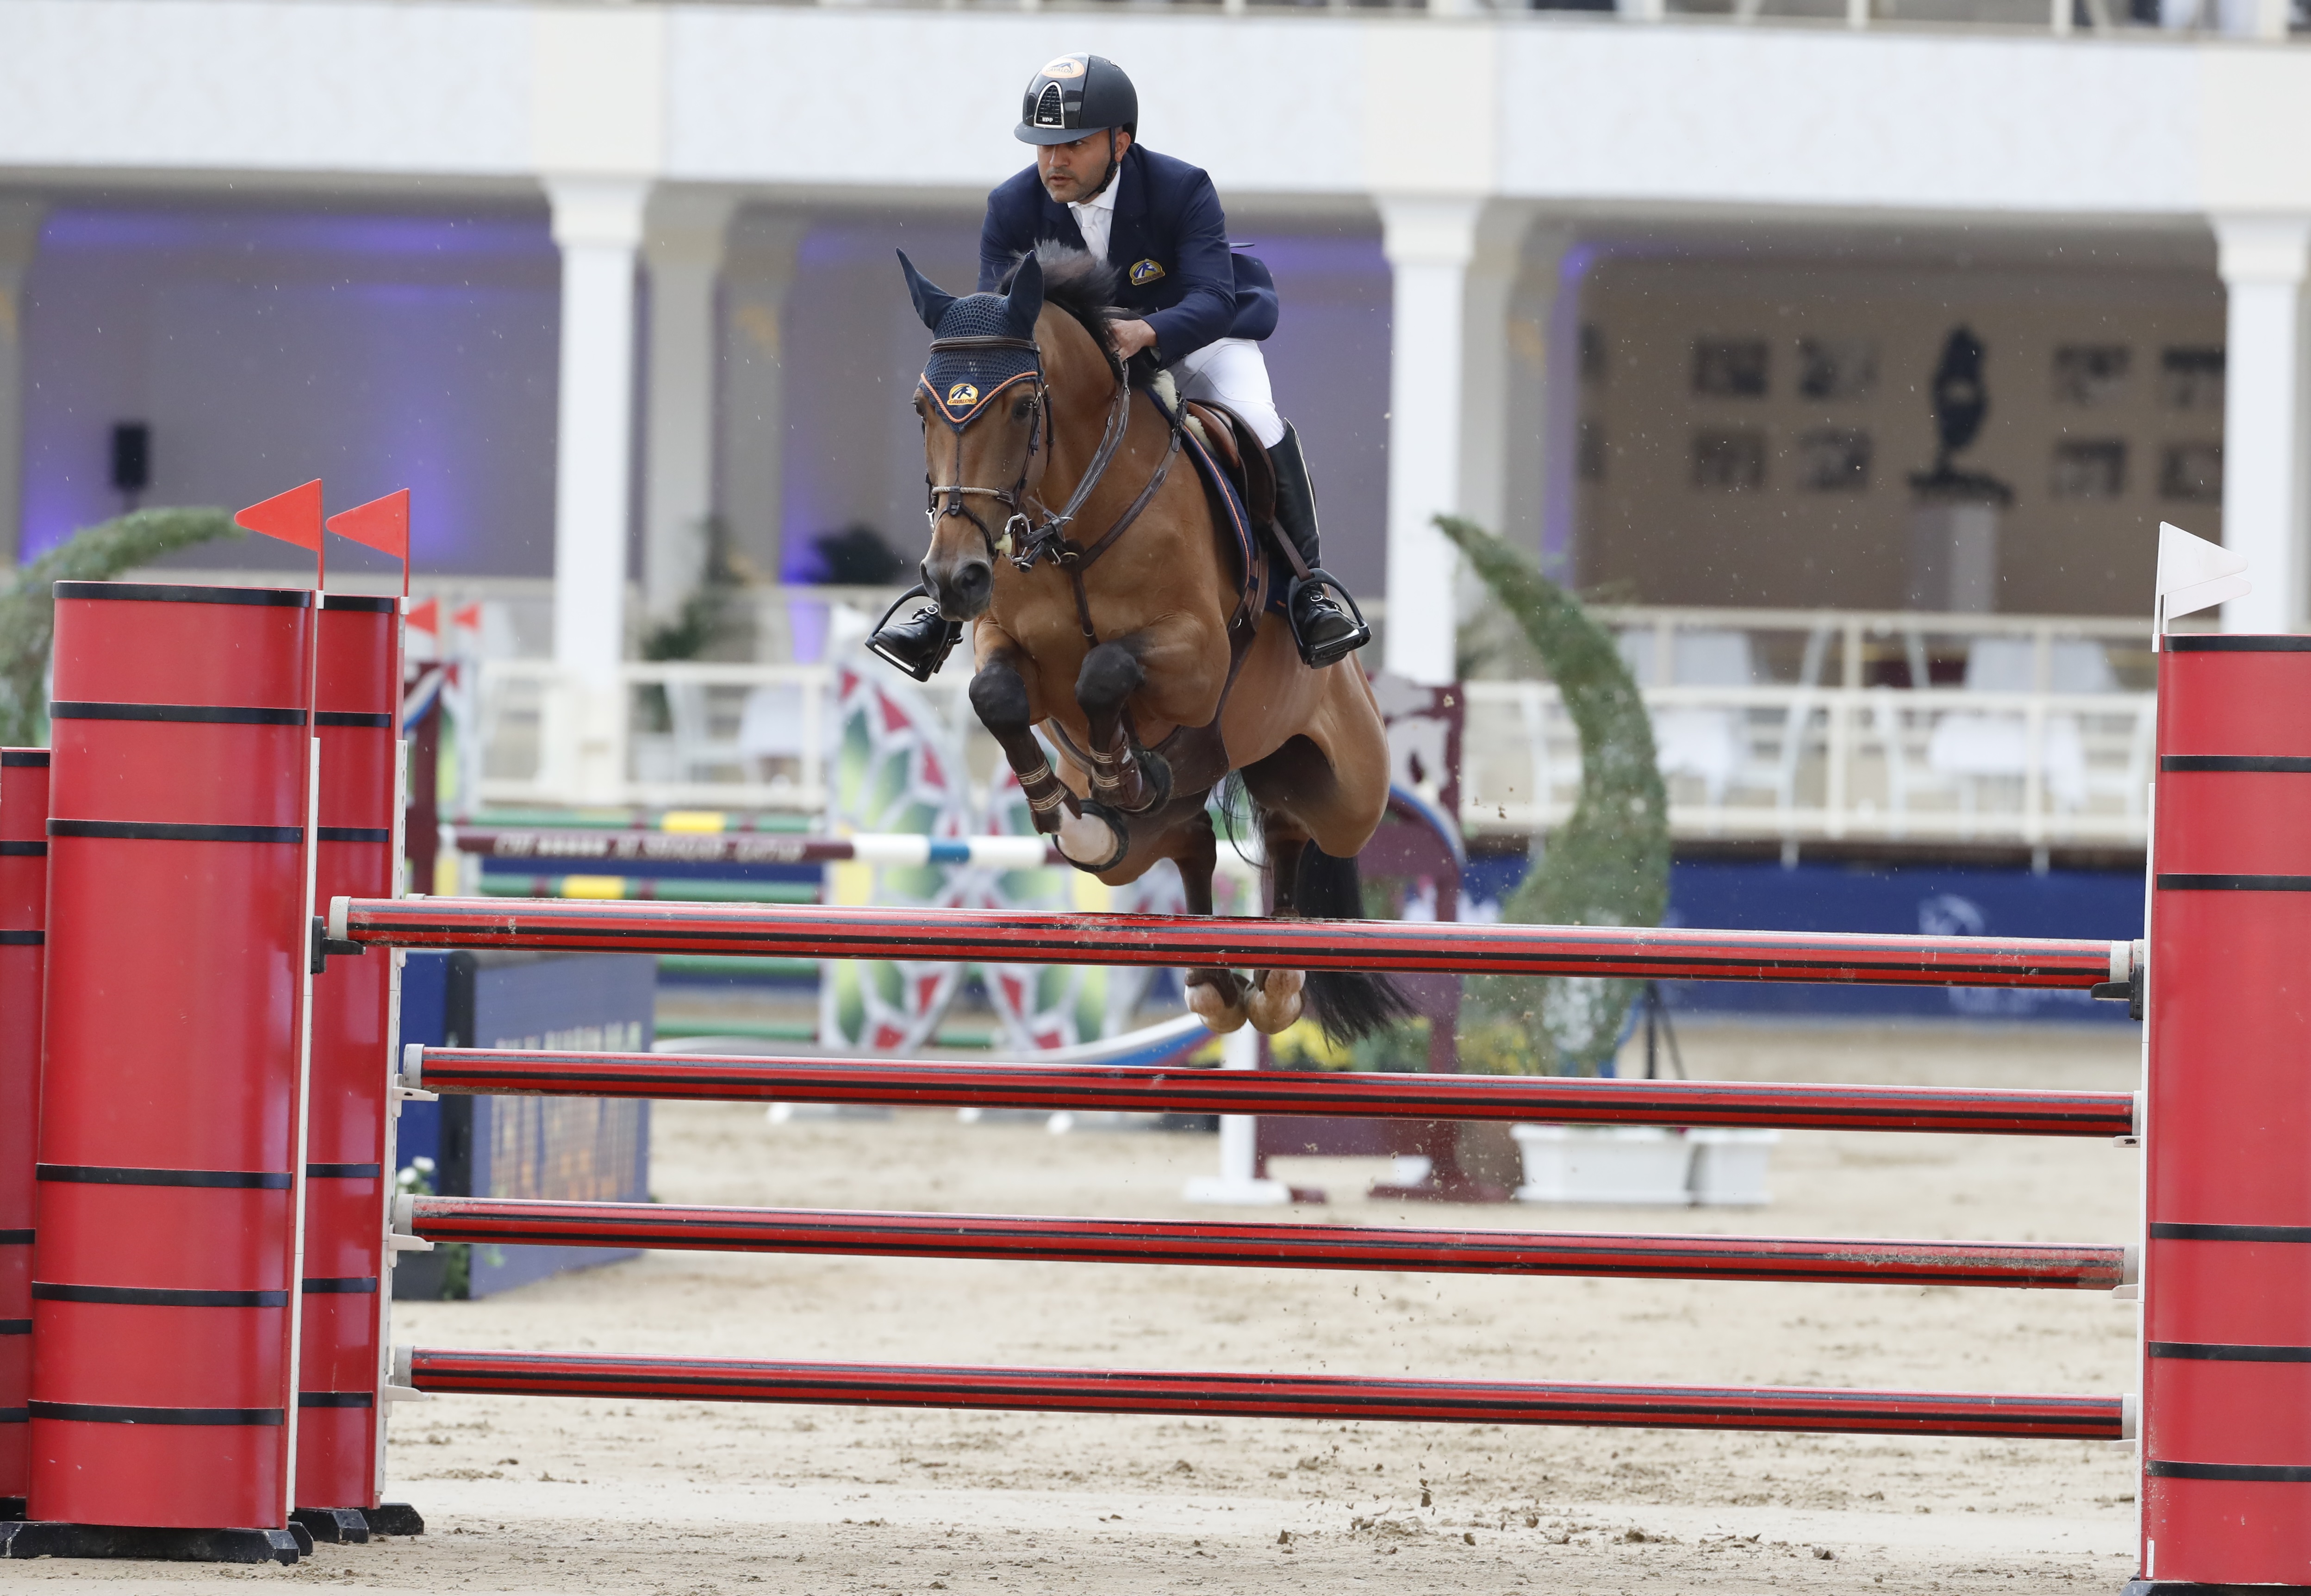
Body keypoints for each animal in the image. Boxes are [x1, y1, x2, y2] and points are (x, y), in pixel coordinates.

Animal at [895, 243, 1403, 1042]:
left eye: (1022, 406)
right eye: (922, 410)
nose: (953, 577)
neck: (1071, 532)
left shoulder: (1198, 660)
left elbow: (1105, 670)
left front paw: (1118, 773)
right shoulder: (1002, 639)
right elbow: (996, 693)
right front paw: (1077, 808)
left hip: (1350, 792)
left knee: (1293, 826)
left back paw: (1277, 982)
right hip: (1142, 854)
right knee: (1187, 838)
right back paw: (1208, 974)